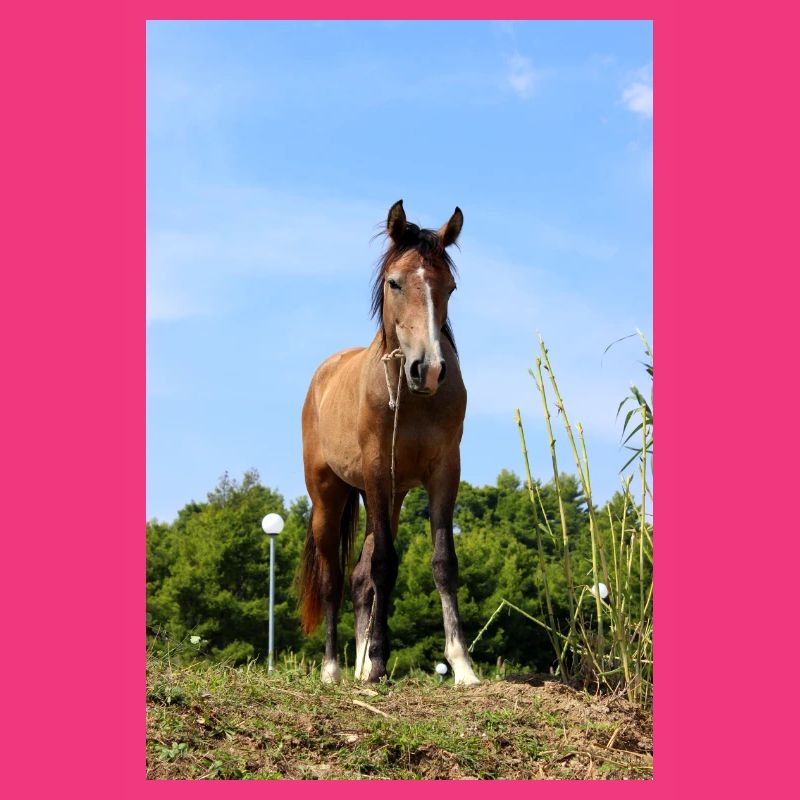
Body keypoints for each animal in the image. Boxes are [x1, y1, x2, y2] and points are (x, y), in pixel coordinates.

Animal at [298, 199, 480, 686]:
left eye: (449, 286)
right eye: (395, 282)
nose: (428, 369)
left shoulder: (443, 473)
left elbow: (442, 563)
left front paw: (461, 664)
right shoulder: (378, 473)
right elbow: (384, 565)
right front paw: (378, 662)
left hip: (389, 498)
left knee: (359, 579)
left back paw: (359, 664)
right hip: (330, 497)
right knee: (334, 579)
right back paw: (333, 669)